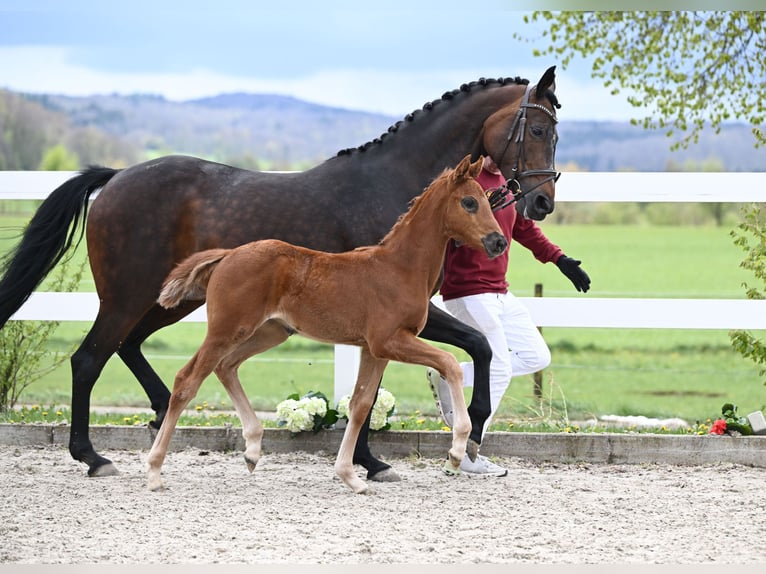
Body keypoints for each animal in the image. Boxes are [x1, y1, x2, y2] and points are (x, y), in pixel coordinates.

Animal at [150, 156, 510, 496]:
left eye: (487, 199)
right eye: (469, 202)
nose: (498, 243)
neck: (400, 267)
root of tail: (227, 255)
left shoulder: (374, 350)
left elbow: (360, 405)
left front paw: (351, 477)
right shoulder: (389, 341)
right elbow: (450, 364)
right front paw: (458, 449)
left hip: (269, 332)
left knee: (226, 366)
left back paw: (252, 449)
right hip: (226, 330)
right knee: (187, 380)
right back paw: (154, 470)